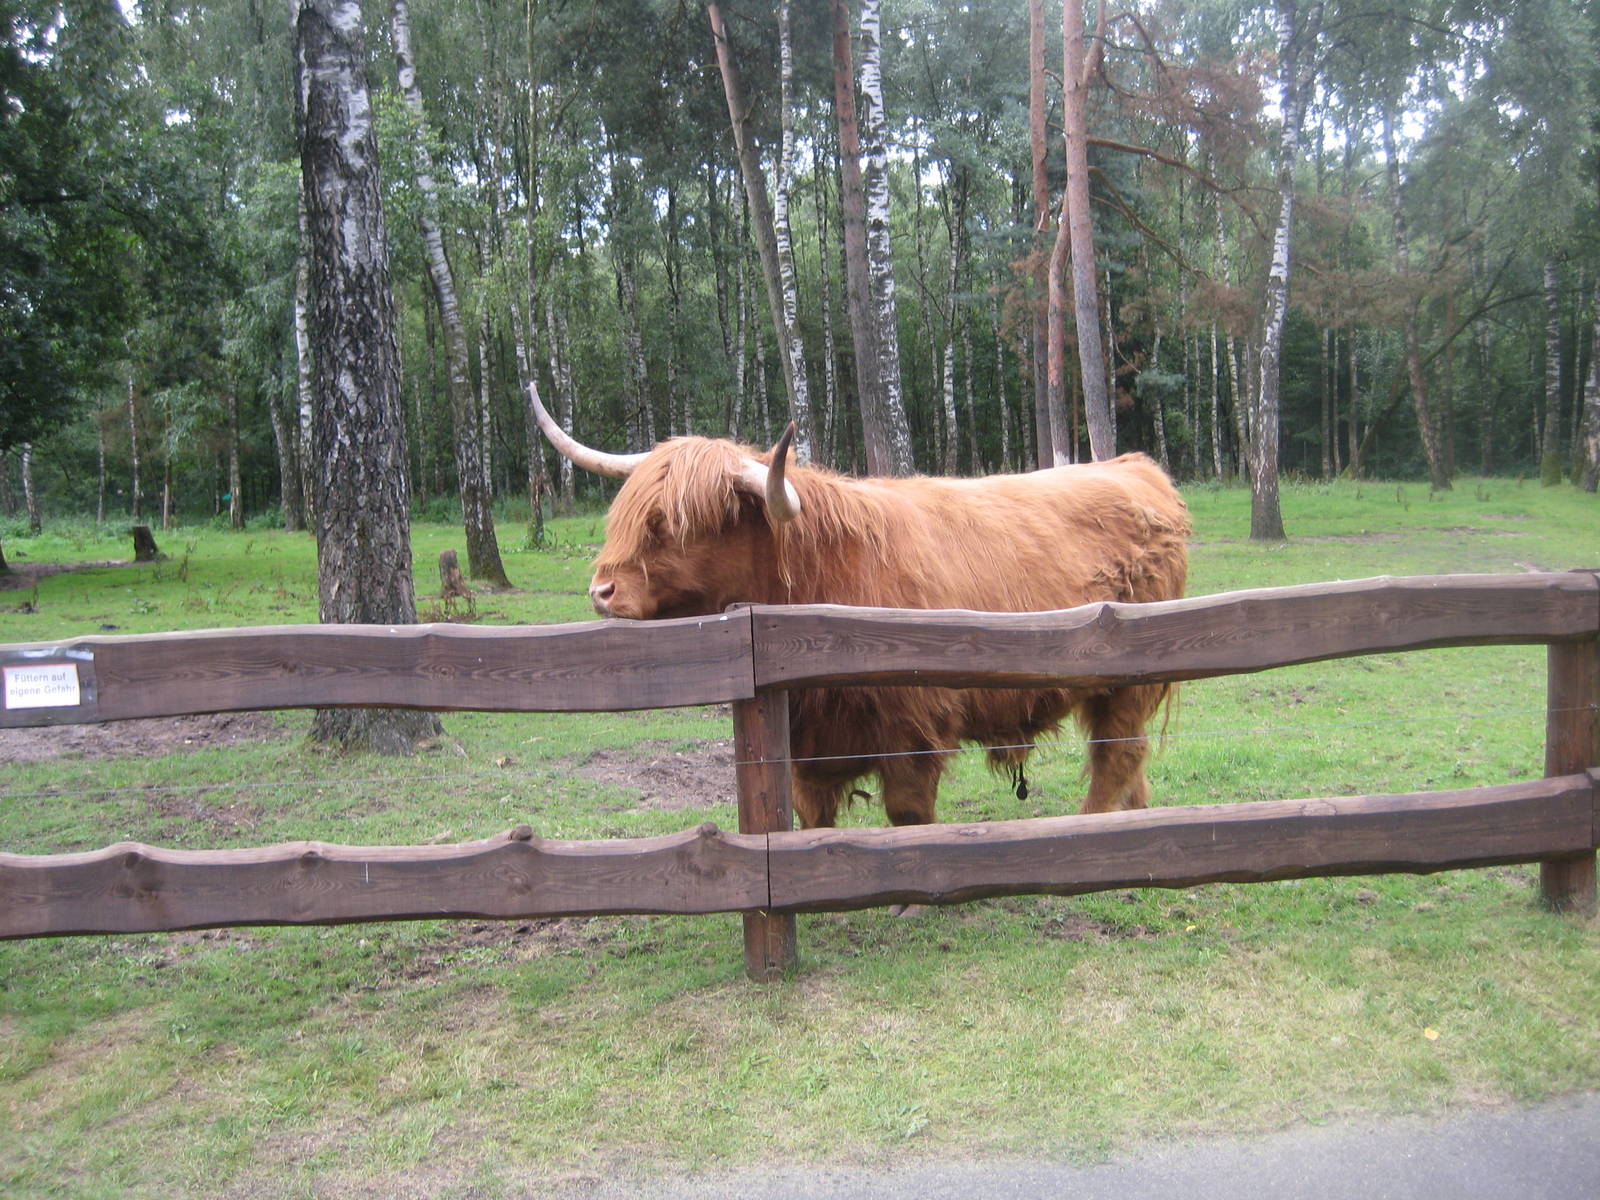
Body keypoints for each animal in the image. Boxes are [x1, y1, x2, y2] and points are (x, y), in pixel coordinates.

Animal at [529, 384, 1190, 829]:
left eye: (680, 524)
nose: (602, 590)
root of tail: (1133, 468)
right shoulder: (806, 736)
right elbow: (809, 809)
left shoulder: (913, 722)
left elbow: (908, 809)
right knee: (1127, 759)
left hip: (1128, 682)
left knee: (1116, 754)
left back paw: (1096, 823)